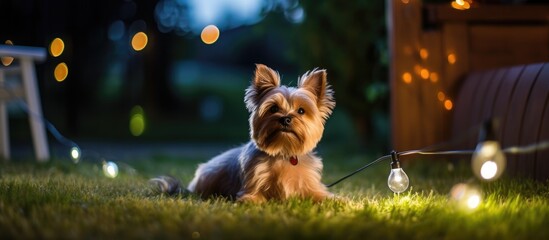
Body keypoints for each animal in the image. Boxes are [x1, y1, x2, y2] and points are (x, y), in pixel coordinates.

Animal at [152, 63, 336, 202]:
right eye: (273, 108)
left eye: (301, 111)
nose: (285, 119)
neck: (283, 152)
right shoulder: (253, 183)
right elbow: (252, 198)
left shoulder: (310, 184)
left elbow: (322, 196)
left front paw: (339, 201)